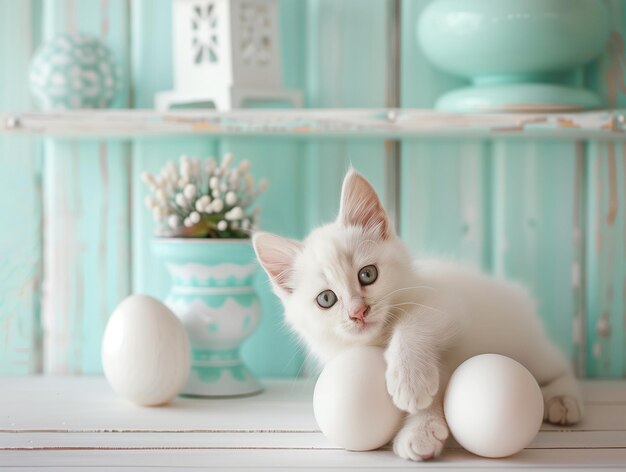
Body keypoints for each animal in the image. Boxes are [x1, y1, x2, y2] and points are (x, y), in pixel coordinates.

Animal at [251, 169, 584, 460]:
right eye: (326, 299)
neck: (379, 339)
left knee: (558, 365)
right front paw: (422, 429)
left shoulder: (446, 301)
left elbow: (414, 323)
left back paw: (564, 399)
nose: (358, 312)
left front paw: (411, 386)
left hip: (526, 344)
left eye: (367, 274)